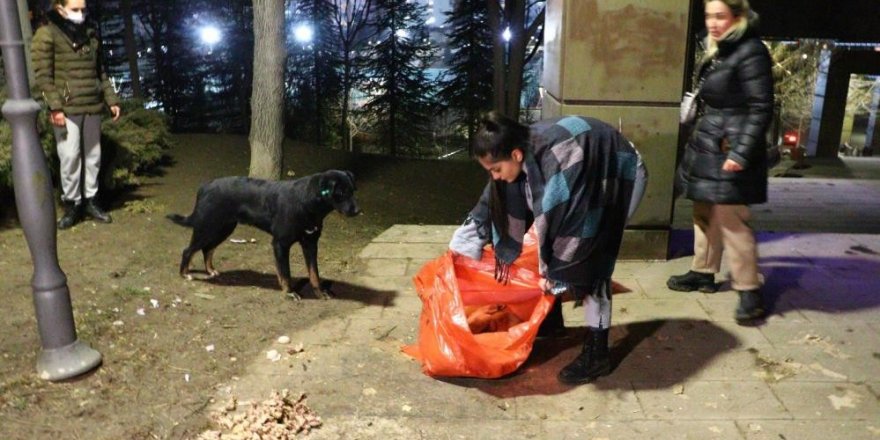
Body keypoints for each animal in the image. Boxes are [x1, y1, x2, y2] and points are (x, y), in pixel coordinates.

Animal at [167, 168, 360, 300]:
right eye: (341, 193)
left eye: (353, 191)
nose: (358, 211)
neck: (309, 202)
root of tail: (204, 186)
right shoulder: (281, 243)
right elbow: (286, 272)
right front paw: (289, 293)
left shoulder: (310, 243)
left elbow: (314, 273)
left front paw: (319, 292)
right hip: (207, 227)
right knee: (188, 250)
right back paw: (185, 274)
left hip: (222, 229)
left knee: (207, 249)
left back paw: (211, 270)